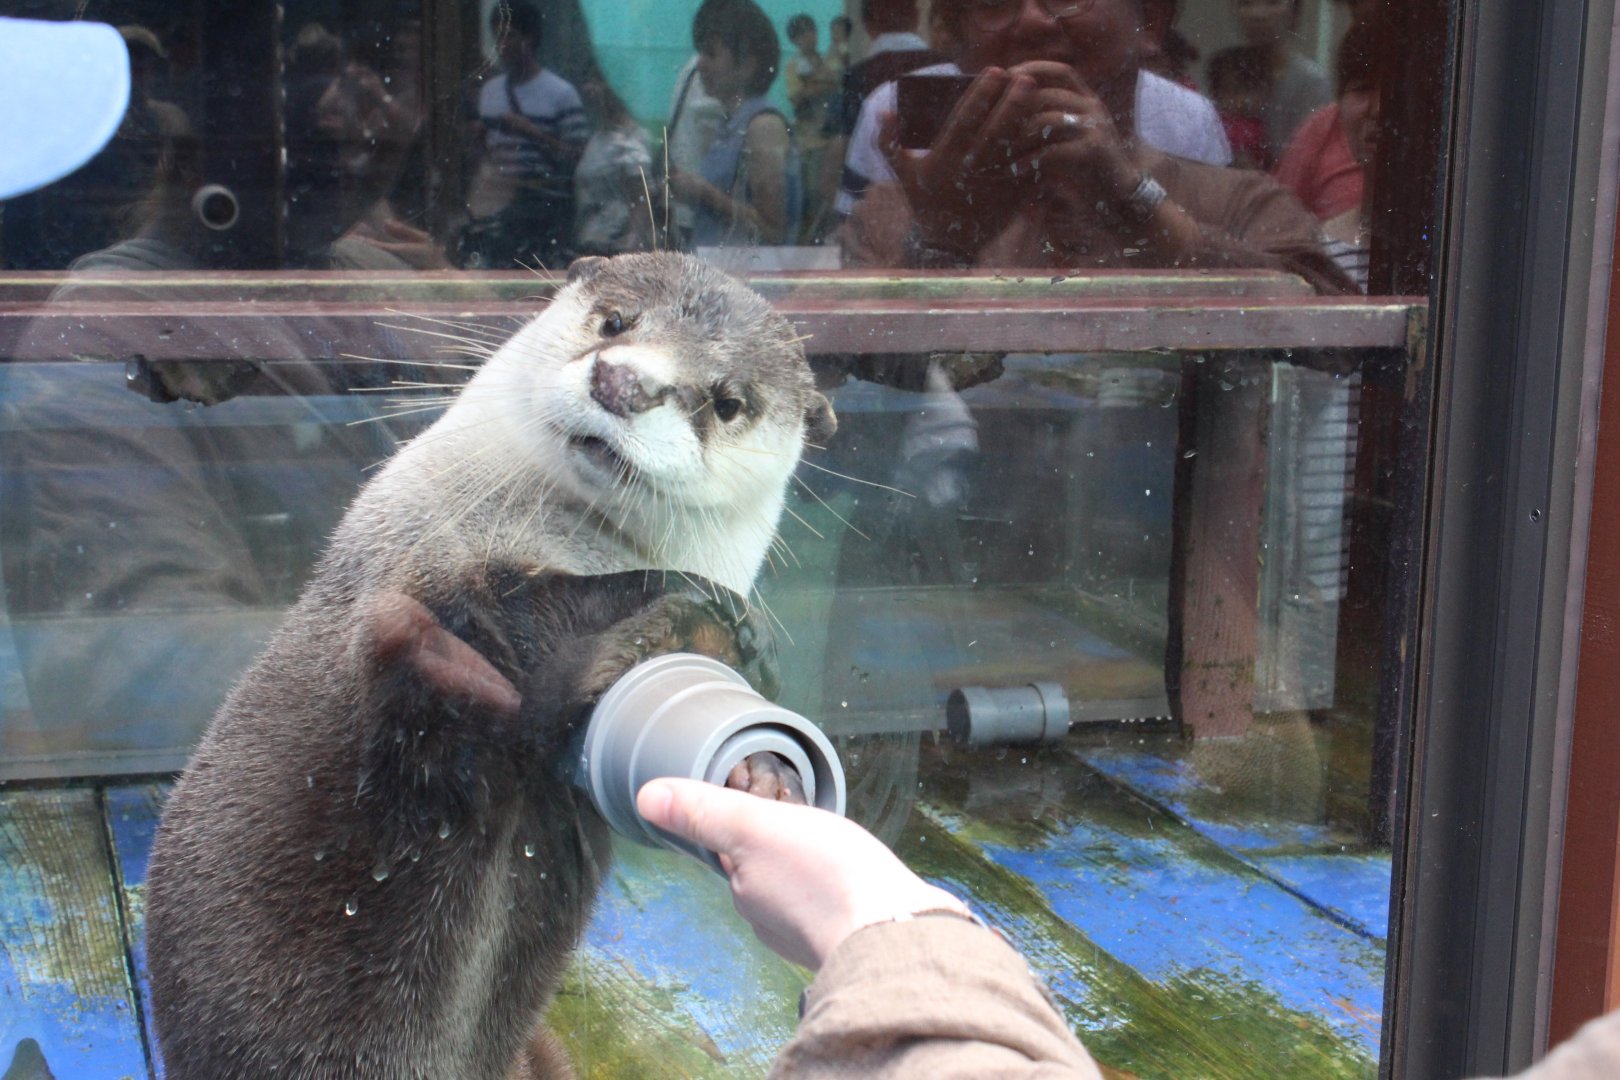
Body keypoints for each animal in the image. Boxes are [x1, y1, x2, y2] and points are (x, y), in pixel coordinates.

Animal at [144, 252, 836, 1079]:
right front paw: (683, 602)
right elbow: (490, 634)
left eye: (728, 402)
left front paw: (760, 775)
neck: (561, 545)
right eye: (614, 320)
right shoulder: (423, 568)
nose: (623, 382)